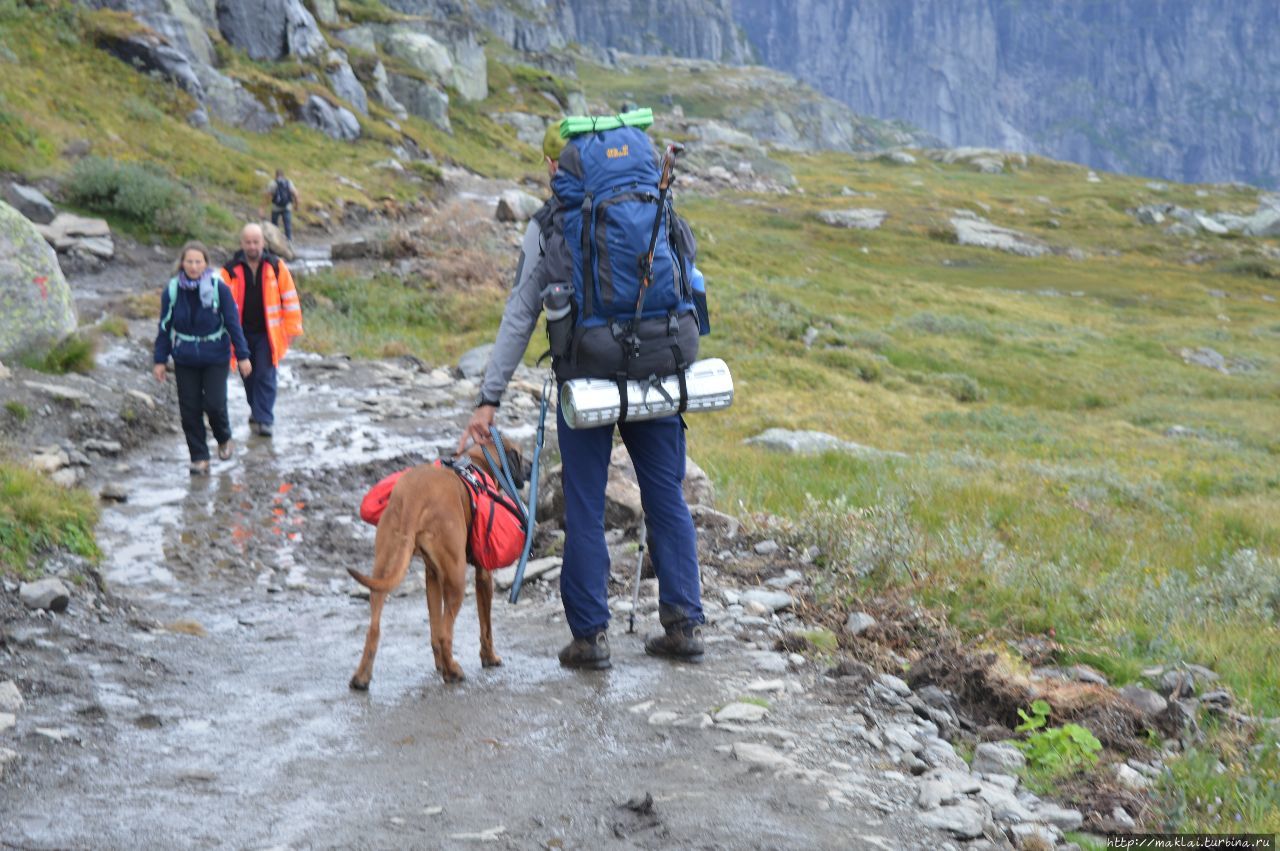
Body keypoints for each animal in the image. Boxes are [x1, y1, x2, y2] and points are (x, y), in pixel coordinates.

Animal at [348, 445, 522, 691]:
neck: (477, 460)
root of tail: (412, 497)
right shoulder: (483, 575)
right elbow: (485, 625)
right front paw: (489, 658)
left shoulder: (432, 576)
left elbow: (433, 624)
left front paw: (440, 664)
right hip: (457, 579)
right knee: (445, 634)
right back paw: (453, 672)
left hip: (384, 566)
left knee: (375, 627)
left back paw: (362, 677)